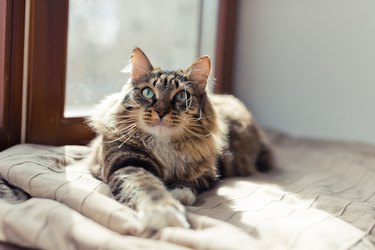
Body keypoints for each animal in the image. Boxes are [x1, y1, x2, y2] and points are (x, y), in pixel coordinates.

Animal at [88, 47, 276, 230]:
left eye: (181, 96)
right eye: (147, 92)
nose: (161, 111)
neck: (163, 145)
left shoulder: (207, 171)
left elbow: (188, 184)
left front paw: (175, 194)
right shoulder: (127, 162)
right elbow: (148, 187)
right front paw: (164, 212)